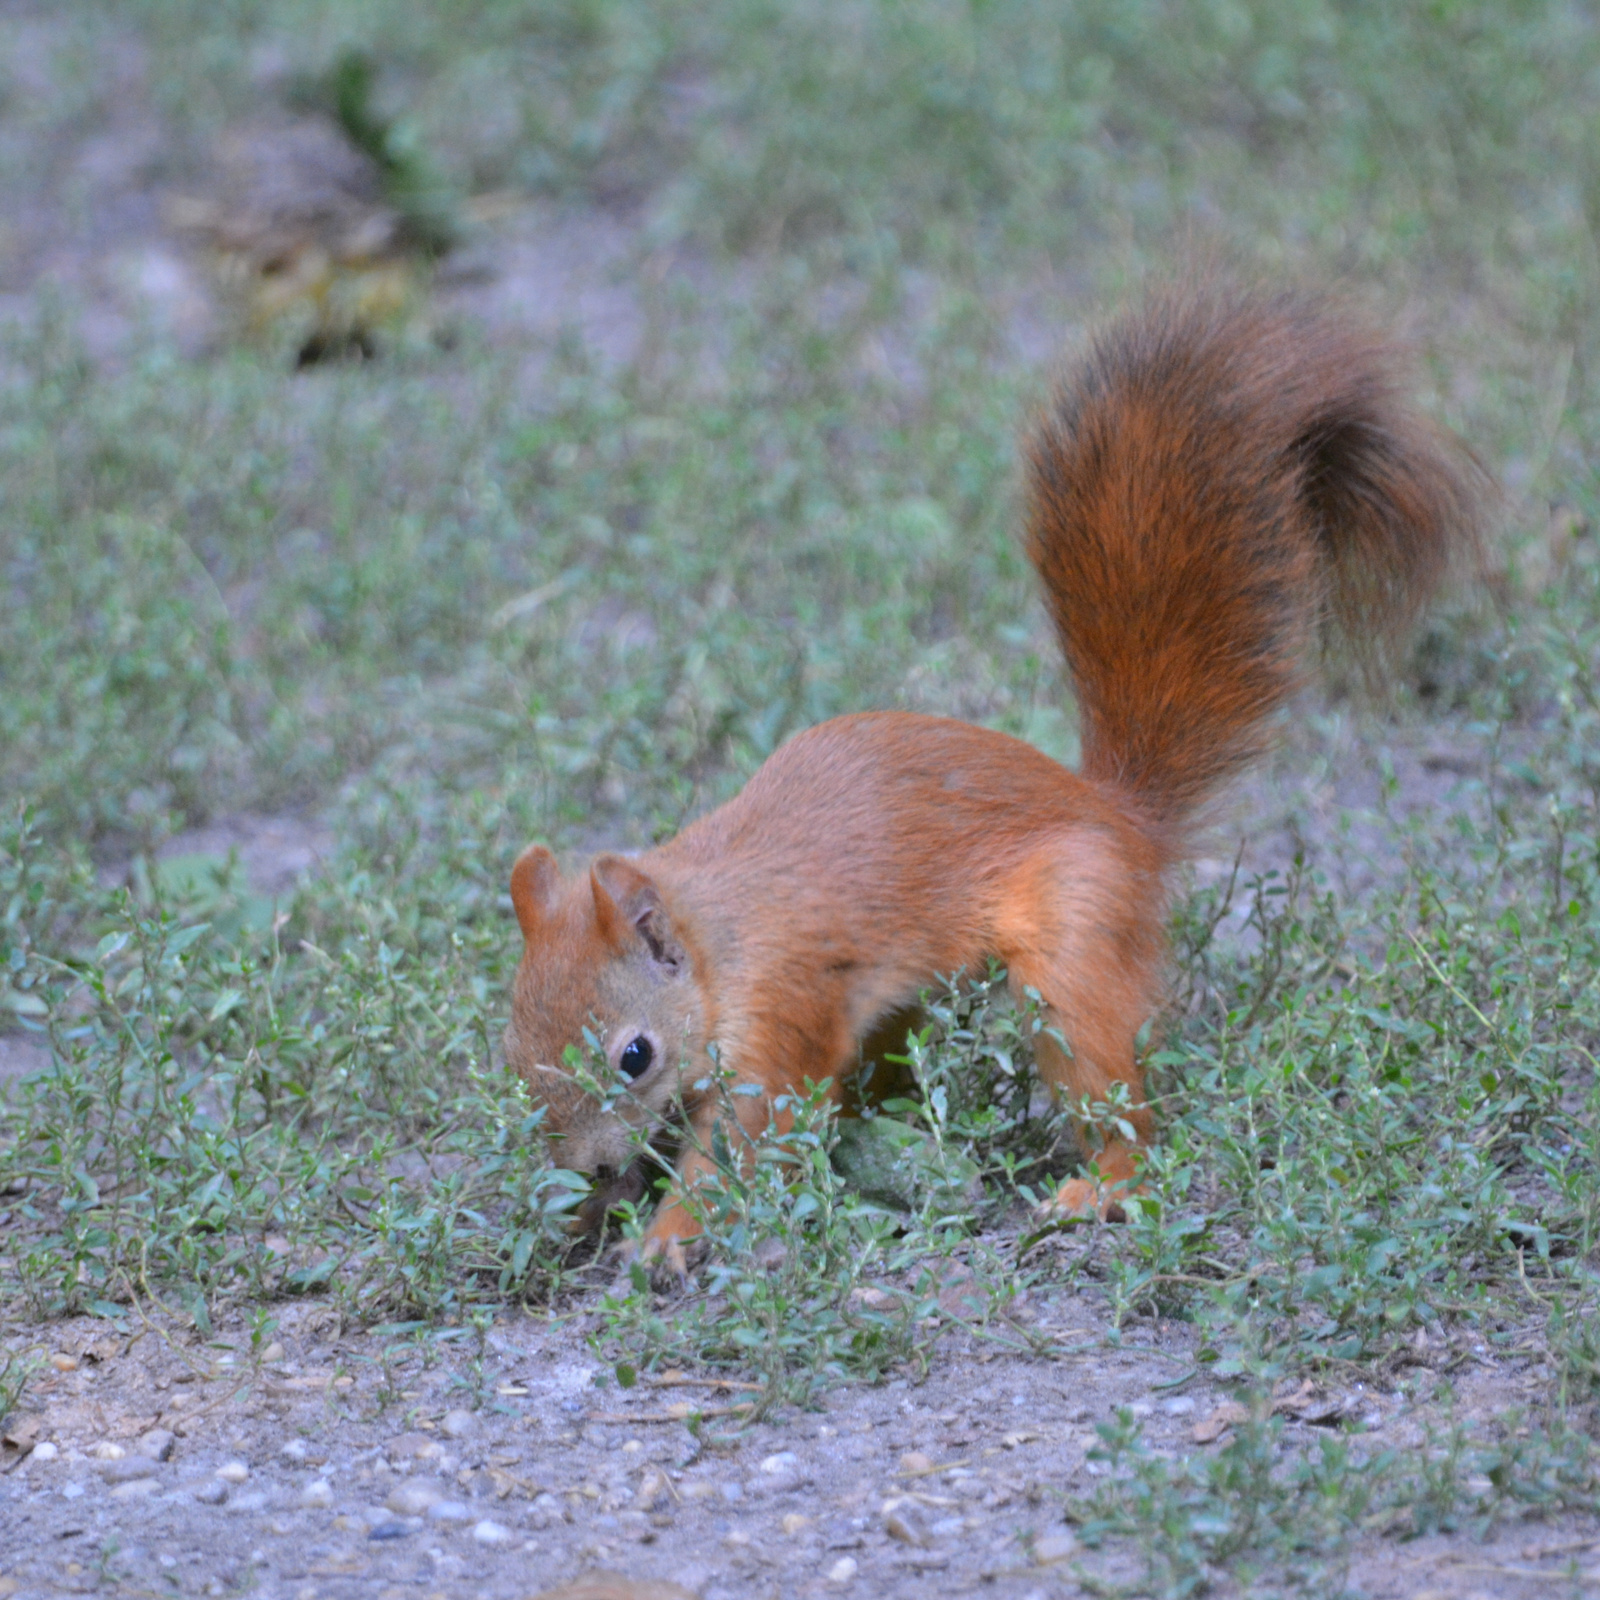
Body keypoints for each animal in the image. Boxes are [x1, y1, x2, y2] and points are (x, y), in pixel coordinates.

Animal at [499, 284, 1484, 1260]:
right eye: (512, 1051)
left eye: (635, 1055)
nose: (587, 1165)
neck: (718, 939)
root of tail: (1118, 814)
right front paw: (588, 1210)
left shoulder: (780, 1013)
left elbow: (744, 1140)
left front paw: (667, 1234)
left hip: (1072, 950)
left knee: (1115, 1102)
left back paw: (1100, 1189)